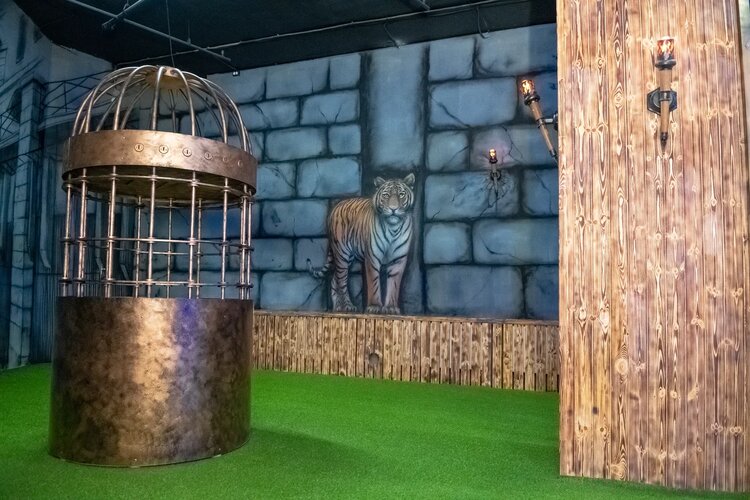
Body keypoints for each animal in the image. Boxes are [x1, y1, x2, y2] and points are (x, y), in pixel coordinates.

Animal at [308, 173, 415, 314]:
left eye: (401, 194)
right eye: (386, 195)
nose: (393, 209)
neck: (393, 227)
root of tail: (337, 205)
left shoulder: (398, 259)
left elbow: (394, 284)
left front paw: (391, 308)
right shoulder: (372, 257)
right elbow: (373, 282)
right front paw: (374, 307)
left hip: (348, 258)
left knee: (334, 280)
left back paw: (337, 308)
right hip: (342, 254)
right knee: (342, 281)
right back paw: (347, 306)